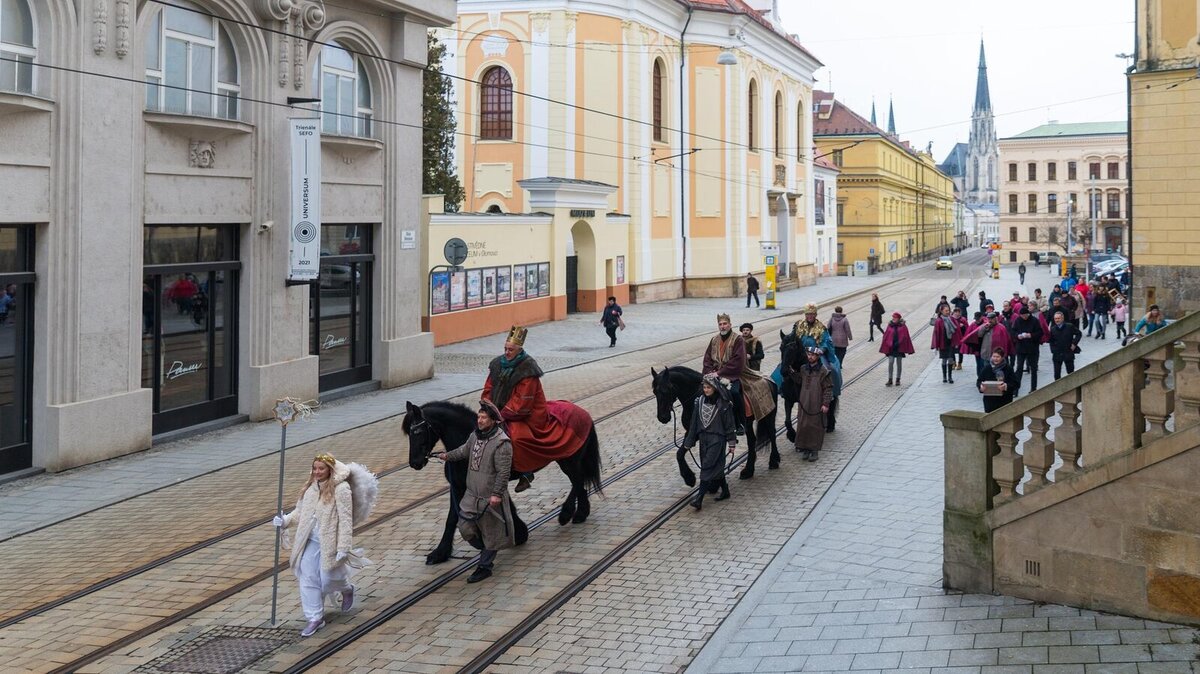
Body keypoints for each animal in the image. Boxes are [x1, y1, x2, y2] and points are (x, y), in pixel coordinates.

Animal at [403, 398, 604, 561]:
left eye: (418, 432)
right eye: (409, 434)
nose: (415, 462)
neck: (470, 440)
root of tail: (582, 412)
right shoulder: (458, 486)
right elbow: (453, 517)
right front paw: (440, 553)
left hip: (568, 460)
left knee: (578, 481)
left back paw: (568, 514)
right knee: (579, 483)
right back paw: (579, 513)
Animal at [652, 364, 782, 479]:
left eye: (667, 389)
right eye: (654, 392)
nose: (662, 417)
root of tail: (768, 378)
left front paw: (692, 478)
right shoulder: (691, 432)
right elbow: (680, 454)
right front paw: (690, 478)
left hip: (769, 415)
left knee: (771, 433)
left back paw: (774, 460)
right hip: (749, 423)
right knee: (752, 441)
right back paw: (748, 471)